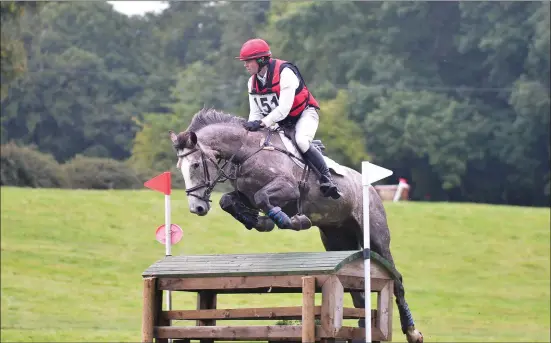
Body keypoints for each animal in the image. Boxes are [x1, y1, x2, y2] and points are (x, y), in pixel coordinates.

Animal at [170, 108, 424, 343]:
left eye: (195, 165)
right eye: (179, 167)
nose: (197, 208)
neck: (246, 151)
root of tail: (369, 187)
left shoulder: (288, 189)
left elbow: (264, 198)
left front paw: (286, 220)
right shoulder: (245, 195)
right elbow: (228, 201)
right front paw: (259, 221)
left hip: (376, 235)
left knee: (397, 280)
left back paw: (412, 331)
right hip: (336, 240)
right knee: (358, 292)